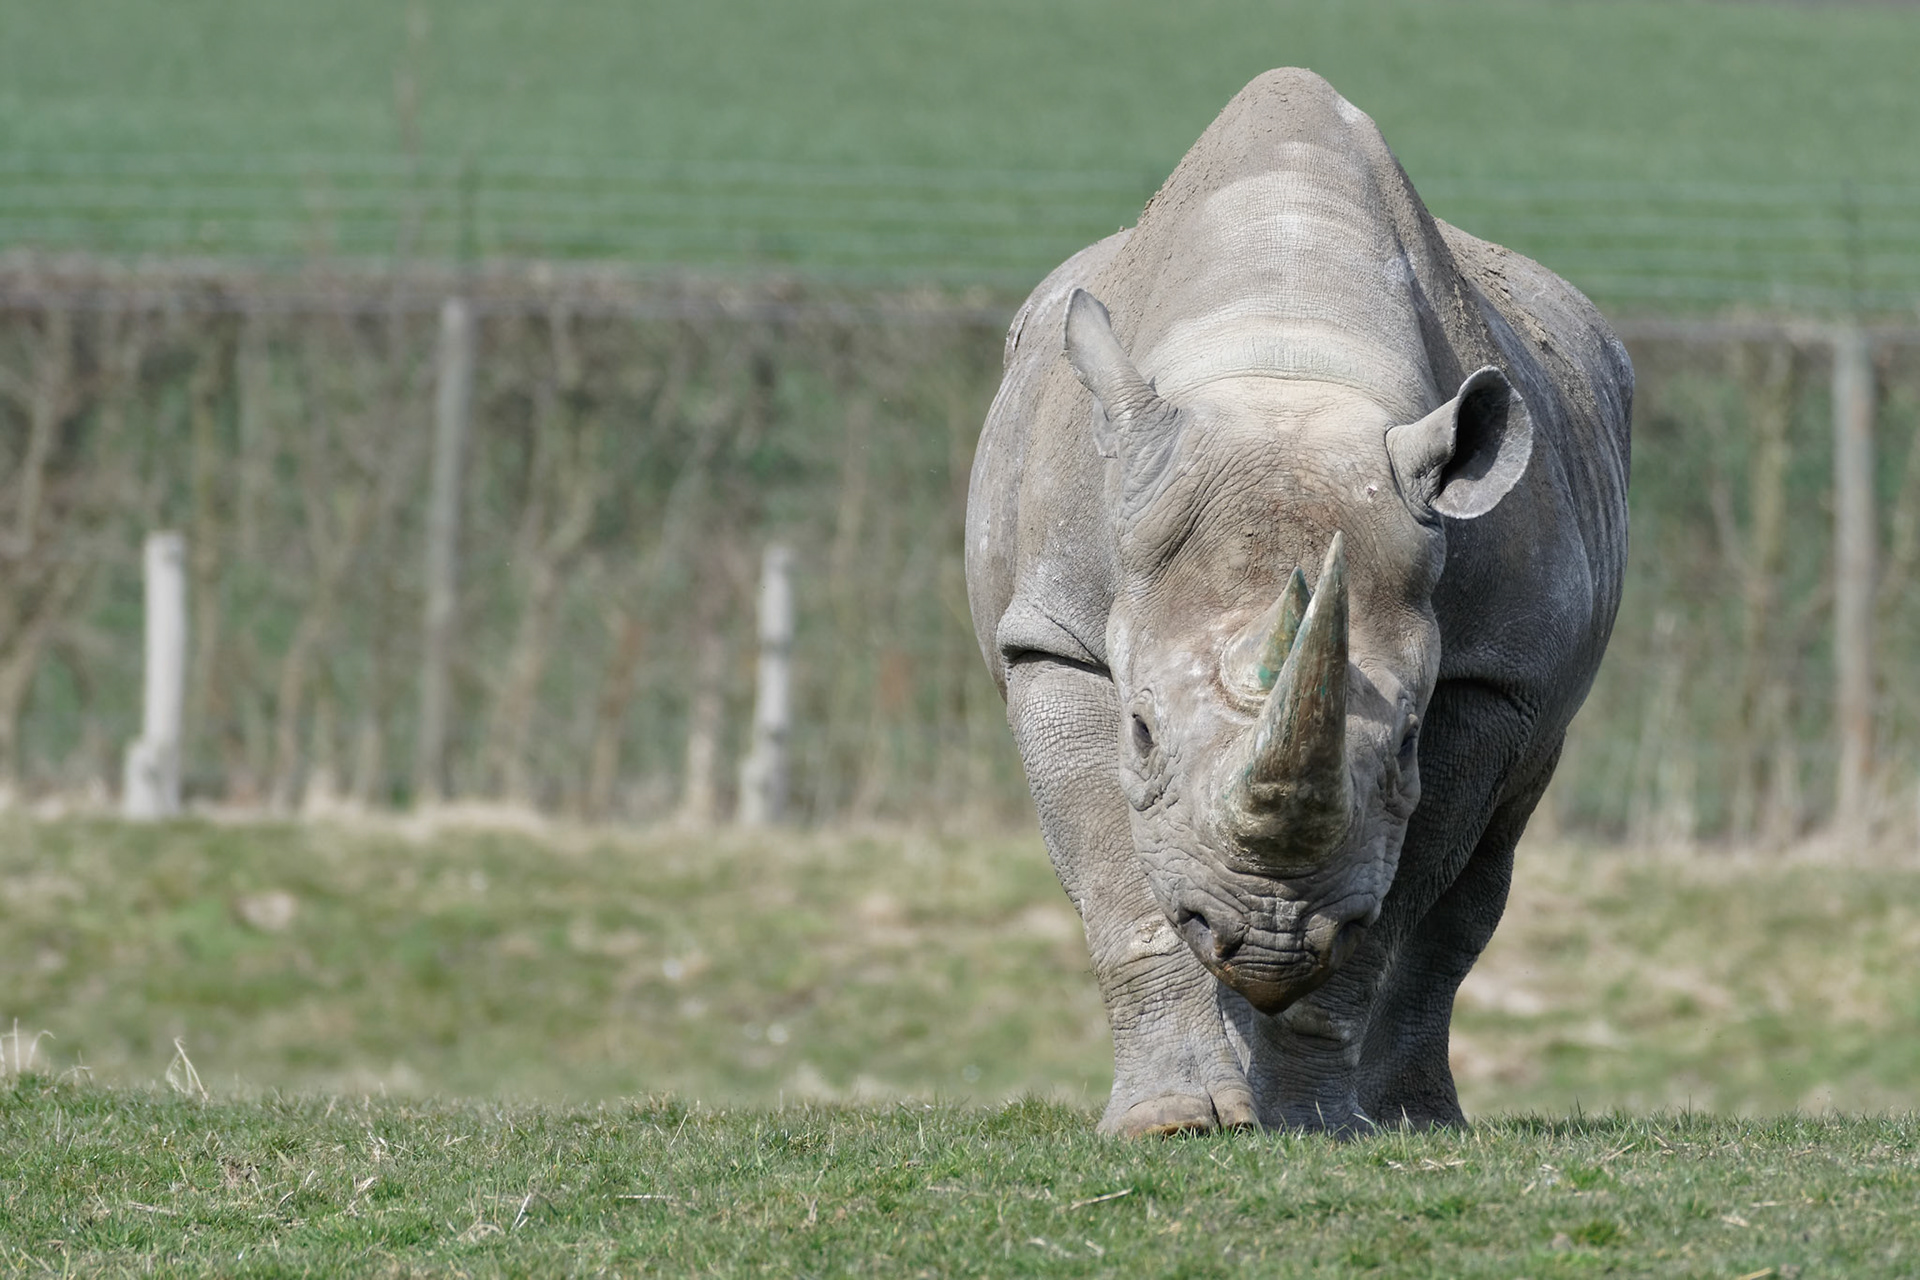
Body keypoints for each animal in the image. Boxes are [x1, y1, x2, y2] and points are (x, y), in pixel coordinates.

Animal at [965, 69, 1631, 1136]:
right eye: (1139, 730)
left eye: (1407, 740)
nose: (1269, 936)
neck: (1288, 365)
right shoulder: (1053, 637)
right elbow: (1122, 890)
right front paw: (1172, 1122)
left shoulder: (1487, 678)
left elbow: (1389, 911)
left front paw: (1315, 1124)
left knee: (1484, 869)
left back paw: (1407, 1118)